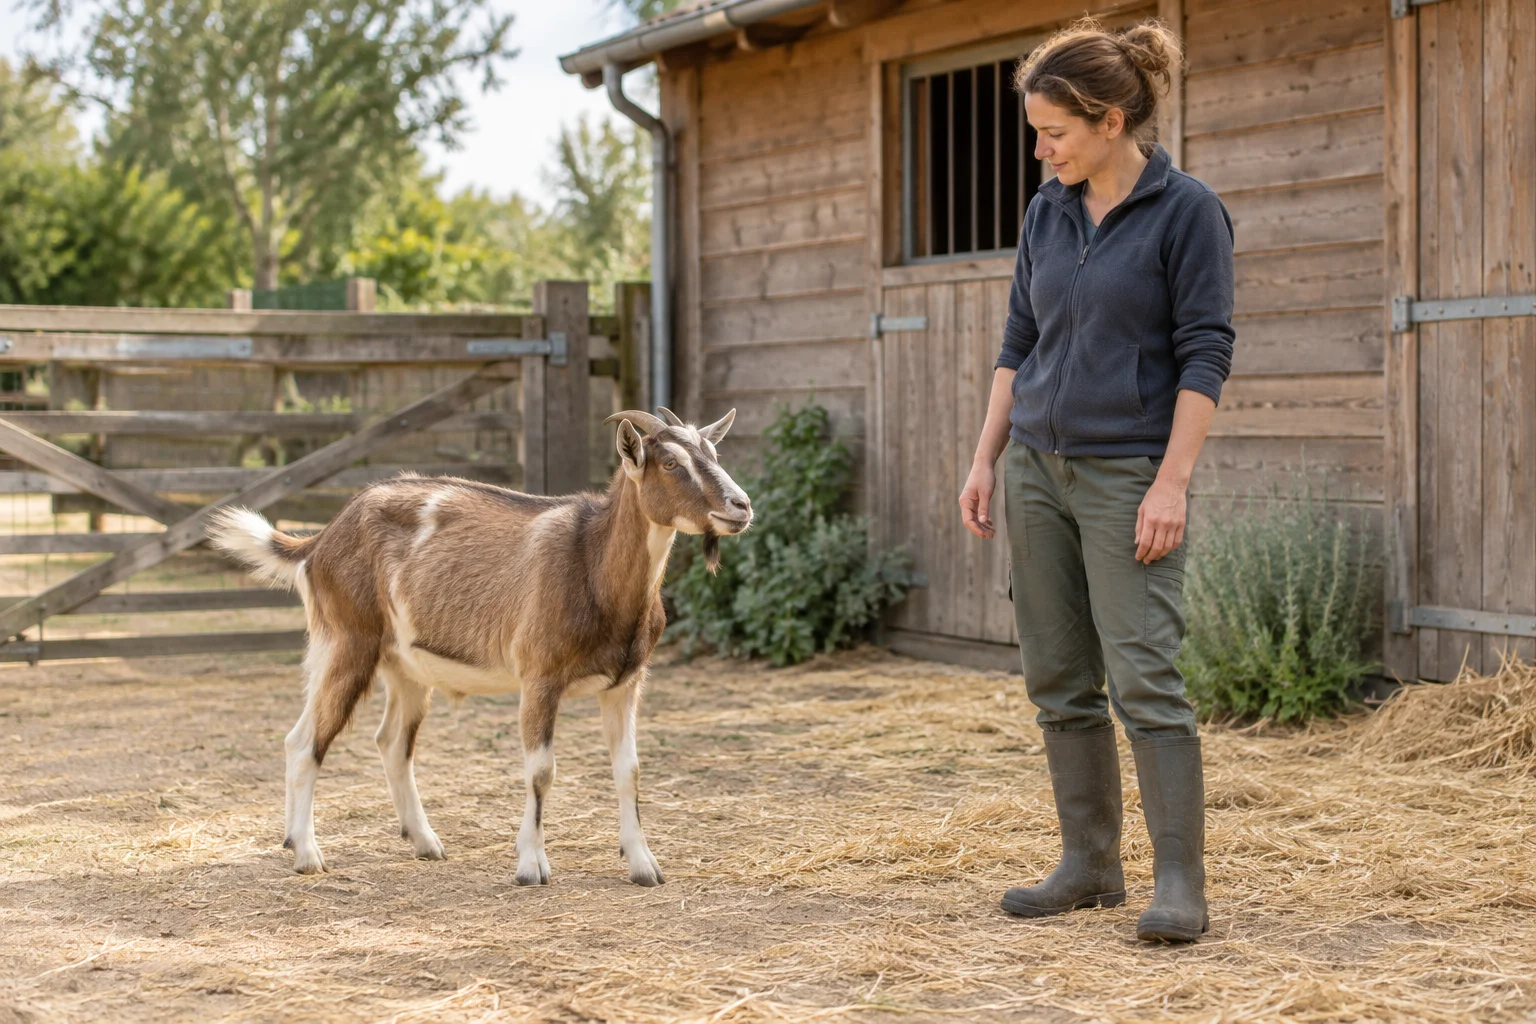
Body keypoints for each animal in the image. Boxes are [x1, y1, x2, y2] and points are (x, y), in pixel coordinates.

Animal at [209, 408, 751, 886]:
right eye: (670, 463)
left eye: (713, 453)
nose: (741, 506)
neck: (592, 564)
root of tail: (318, 542)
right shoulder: (540, 677)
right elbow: (541, 771)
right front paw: (531, 866)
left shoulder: (625, 684)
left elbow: (629, 771)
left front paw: (643, 866)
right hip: (345, 642)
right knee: (306, 742)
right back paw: (306, 854)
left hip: (403, 666)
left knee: (386, 742)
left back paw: (420, 842)